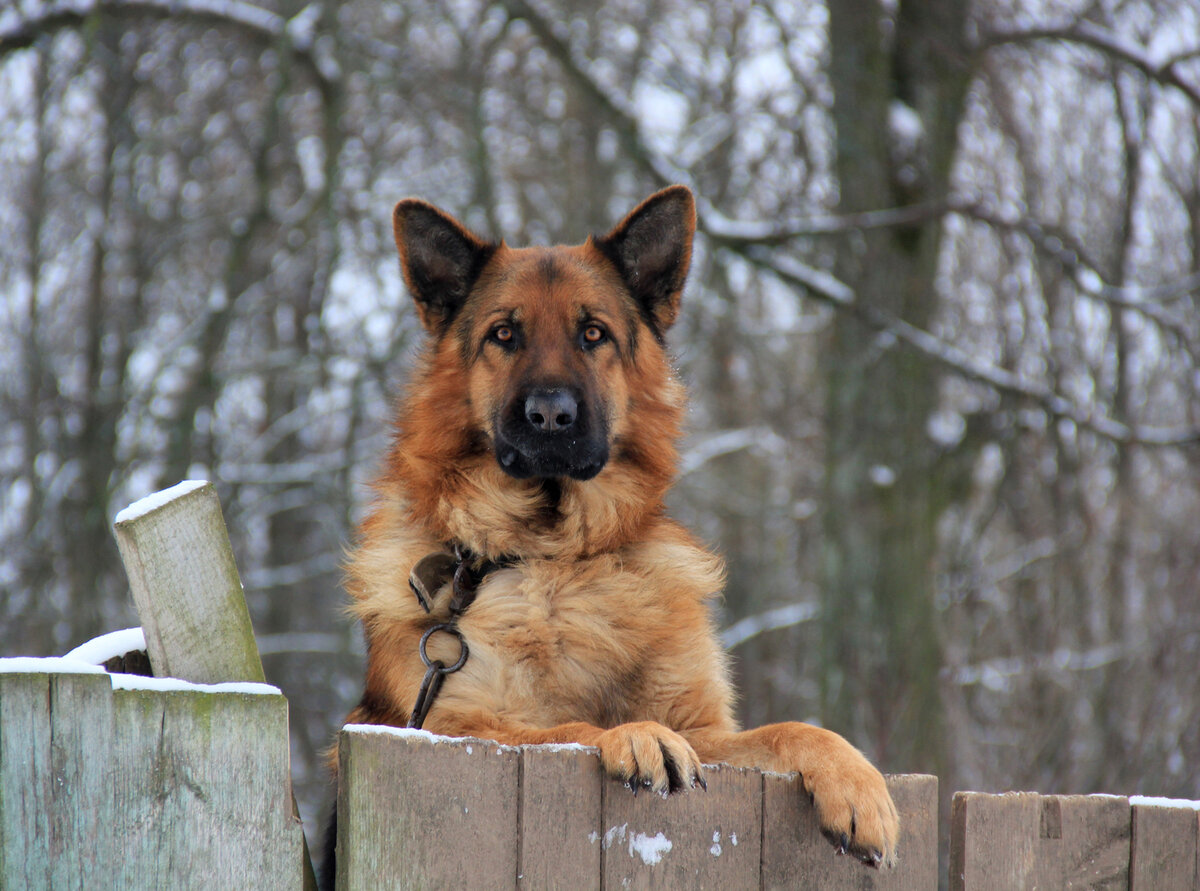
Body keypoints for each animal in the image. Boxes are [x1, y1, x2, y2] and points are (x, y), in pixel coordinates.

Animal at [324, 184, 897, 883]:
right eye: (503, 334)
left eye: (592, 333)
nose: (550, 415)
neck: (556, 557)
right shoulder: (446, 724)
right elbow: (560, 728)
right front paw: (635, 734)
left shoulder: (705, 730)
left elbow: (789, 730)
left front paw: (859, 785)